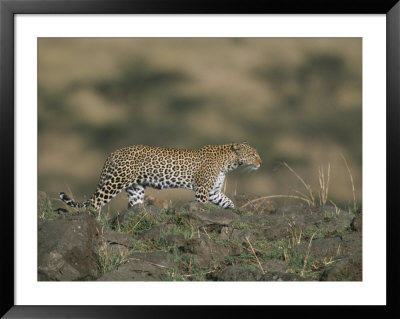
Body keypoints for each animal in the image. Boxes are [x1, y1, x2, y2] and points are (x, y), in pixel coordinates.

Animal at [58, 142, 260, 212]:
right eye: (253, 154)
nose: (261, 163)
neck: (228, 163)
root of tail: (114, 152)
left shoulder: (214, 192)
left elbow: (227, 202)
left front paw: (234, 211)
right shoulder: (202, 190)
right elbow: (202, 205)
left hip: (135, 188)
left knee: (134, 204)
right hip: (116, 181)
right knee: (96, 201)